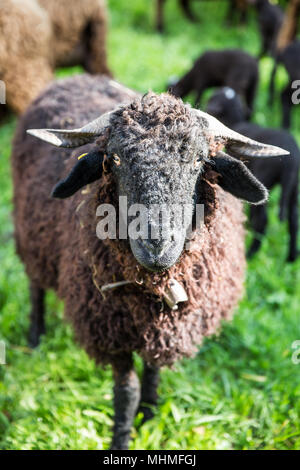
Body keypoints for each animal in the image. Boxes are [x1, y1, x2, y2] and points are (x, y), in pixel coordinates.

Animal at [11, 73, 288, 448]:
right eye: (113, 159)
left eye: (199, 160)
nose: (156, 245)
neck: (156, 285)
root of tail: (77, 78)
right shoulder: (112, 331)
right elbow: (125, 392)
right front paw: (122, 437)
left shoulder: (166, 325)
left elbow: (154, 371)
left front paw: (150, 415)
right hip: (31, 234)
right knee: (36, 286)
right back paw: (36, 336)